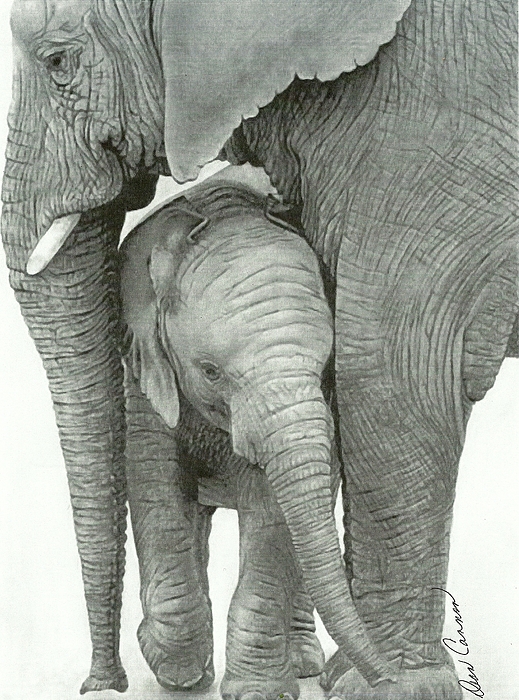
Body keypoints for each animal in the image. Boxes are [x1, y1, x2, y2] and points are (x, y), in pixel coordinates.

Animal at [120, 180, 343, 698]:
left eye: (326, 365)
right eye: (210, 371)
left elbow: (273, 515)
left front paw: (257, 691)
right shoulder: (146, 371)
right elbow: (156, 490)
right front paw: (176, 671)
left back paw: (302, 662)